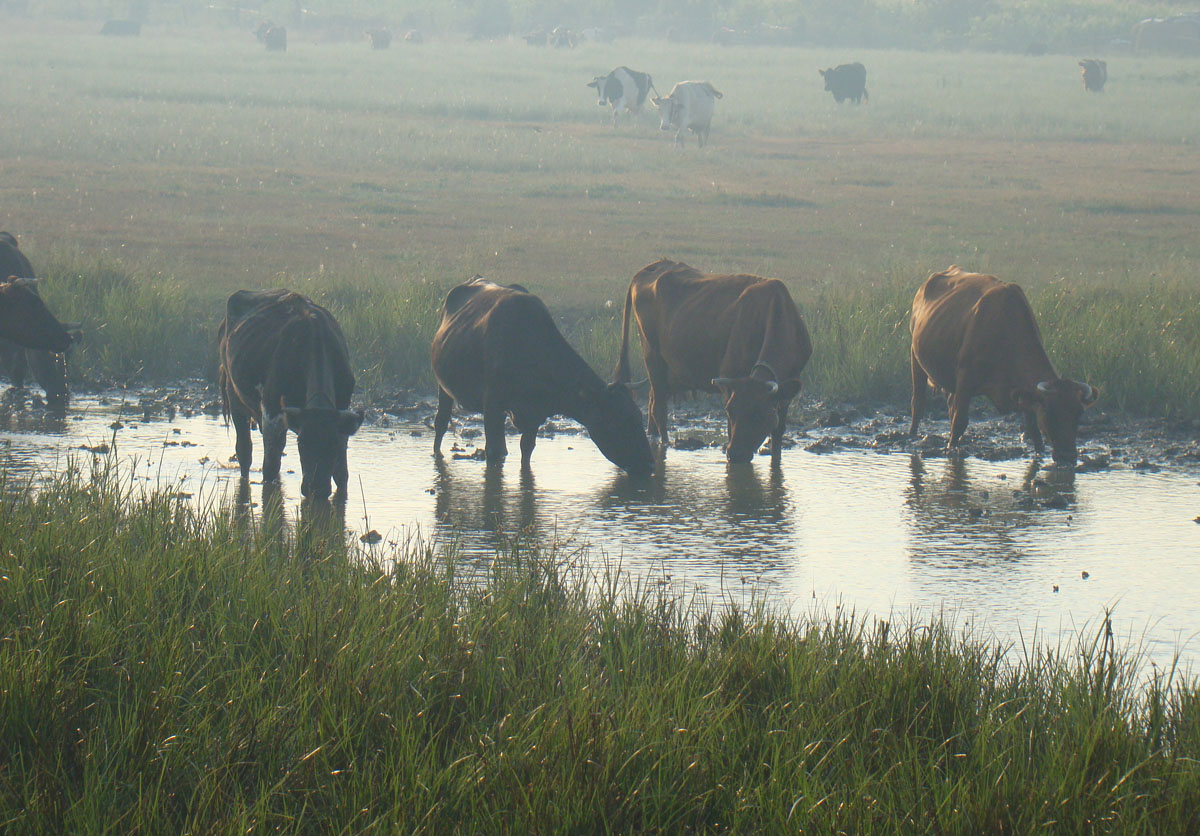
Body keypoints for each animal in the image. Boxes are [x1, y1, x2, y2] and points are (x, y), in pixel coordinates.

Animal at [434, 275, 657, 474]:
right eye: (620, 420)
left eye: (638, 416)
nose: (649, 462)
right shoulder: (493, 406)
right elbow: (495, 452)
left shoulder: (535, 416)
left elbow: (526, 450)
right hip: (442, 387)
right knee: (440, 423)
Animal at [907, 266, 1099, 462]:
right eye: (1049, 412)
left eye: (1079, 413)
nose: (1068, 456)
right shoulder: (965, 378)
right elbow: (959, 421)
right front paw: (951, 449)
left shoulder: (1025, 392)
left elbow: (1033, 429)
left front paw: (1039, 453)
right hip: (915, 355)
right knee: (918, 401)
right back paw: (912, 434)